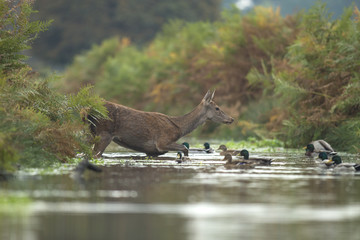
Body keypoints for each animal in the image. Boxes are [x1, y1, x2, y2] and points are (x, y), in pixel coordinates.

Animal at [88, 90, 235, 158]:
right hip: (104, 133)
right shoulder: (162, 142)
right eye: (217, 108)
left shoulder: (151, 151)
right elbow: (185, 148)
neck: (179, 128)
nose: (231, 119)